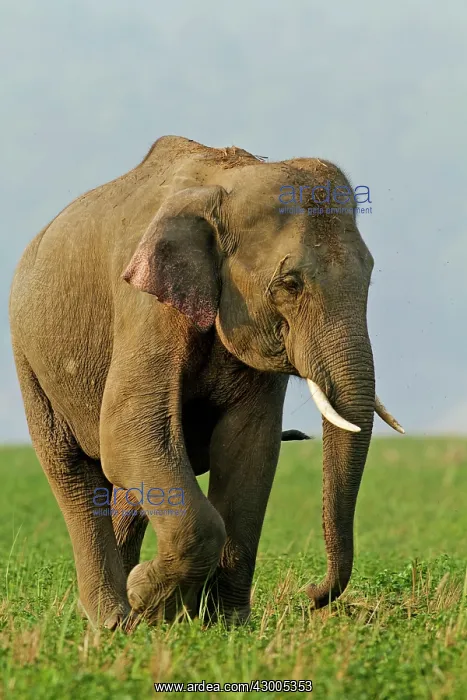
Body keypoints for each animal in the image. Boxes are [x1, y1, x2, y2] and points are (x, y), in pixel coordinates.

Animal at [9, 135, 403, 630]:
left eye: (370, 275)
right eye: (290, 284)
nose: (311, 594)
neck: (226, 185)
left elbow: (249, 449)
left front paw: (223, 623)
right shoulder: (145, 305)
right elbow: (128, 433)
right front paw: (151, 602)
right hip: (28, 356)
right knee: (73, 472)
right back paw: (113, 621)